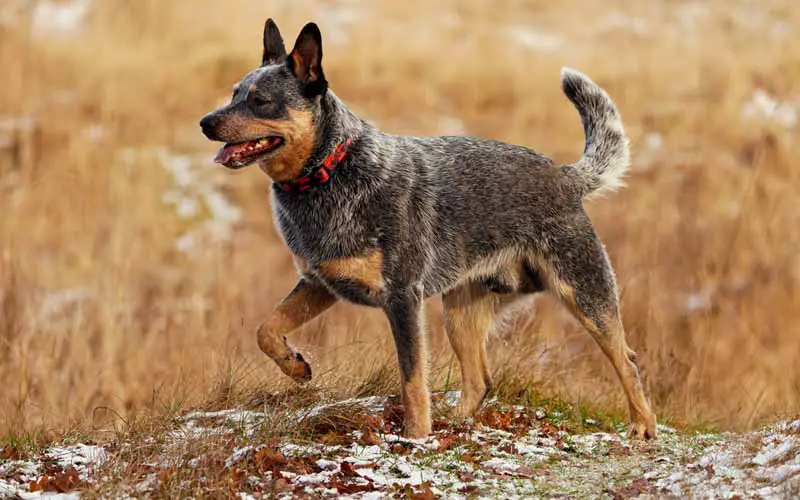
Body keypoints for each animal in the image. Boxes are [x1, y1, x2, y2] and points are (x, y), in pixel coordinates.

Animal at [198, 16, 656, 438]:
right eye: (234, 94)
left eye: (260, 101)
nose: (205, 122)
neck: (331, 171)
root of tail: (565, 176)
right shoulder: (320, 283)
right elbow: (266, 329)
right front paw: (296, 367)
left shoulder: (403, 297)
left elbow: (413, 380)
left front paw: (415, 438)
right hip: (461, 313)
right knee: (480, 380)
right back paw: (455, 425)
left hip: (584, 294)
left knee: (627, 358)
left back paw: (642, 427)